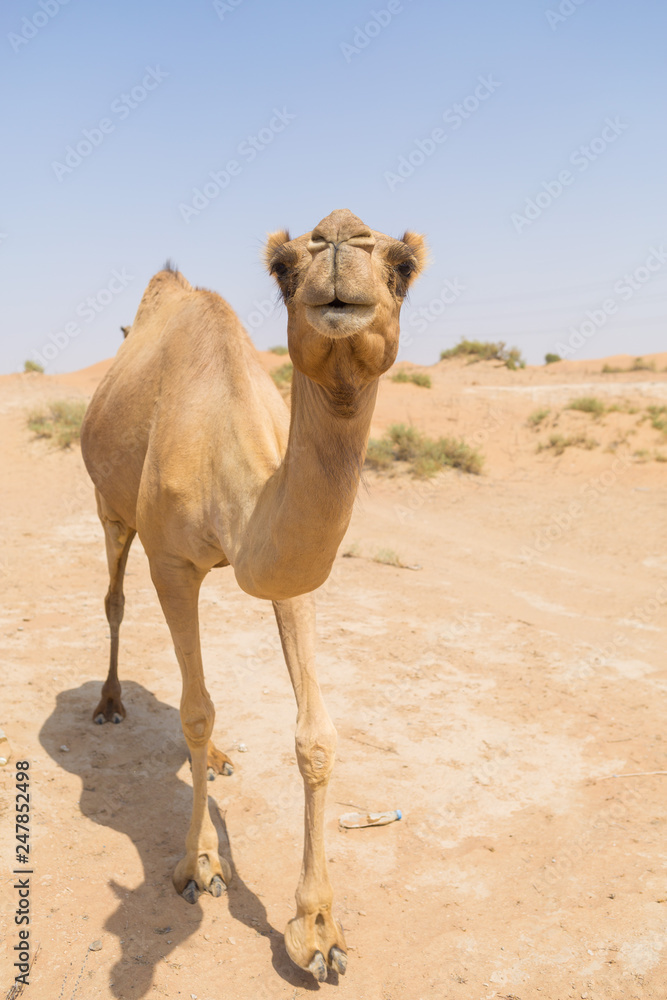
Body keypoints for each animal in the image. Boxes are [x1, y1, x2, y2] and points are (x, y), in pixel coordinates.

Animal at [81, 207, 426, 980]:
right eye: (283, 269)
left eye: (403, 266)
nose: (339, 239)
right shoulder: (171, 561)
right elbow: (194, 710)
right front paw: (199, 864)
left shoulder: (290, 576)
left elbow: (314, 737)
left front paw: (318, 932)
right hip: (110, 509)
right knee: (117, 602)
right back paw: (110, 703)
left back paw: (212, 759)